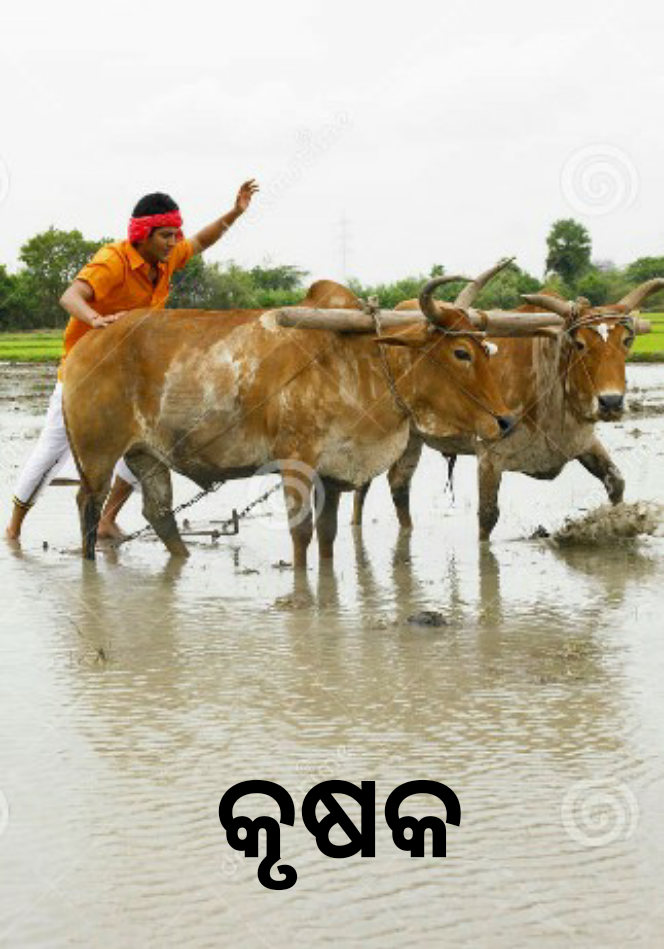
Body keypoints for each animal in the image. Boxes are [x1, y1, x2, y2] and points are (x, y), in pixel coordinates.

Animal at [62, 276, 521, 567]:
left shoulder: (334, 473)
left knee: (158, 511)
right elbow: (301, 536)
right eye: (461, 353)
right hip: (96, 455)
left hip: (147, 455)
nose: (505, 422)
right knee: (87, 507)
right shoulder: (296, 463)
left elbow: (328, 534)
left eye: (487, 350)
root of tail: (85, 344)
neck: (362, 361)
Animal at [352, 274, 659, 539]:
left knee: (398, 486)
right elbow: (488, 516)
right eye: (581, 344)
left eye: (627, 340)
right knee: (365, 482)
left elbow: (616, 482)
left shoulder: (583, 442)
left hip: (412, 438)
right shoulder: (490, 456)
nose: (611, 401)